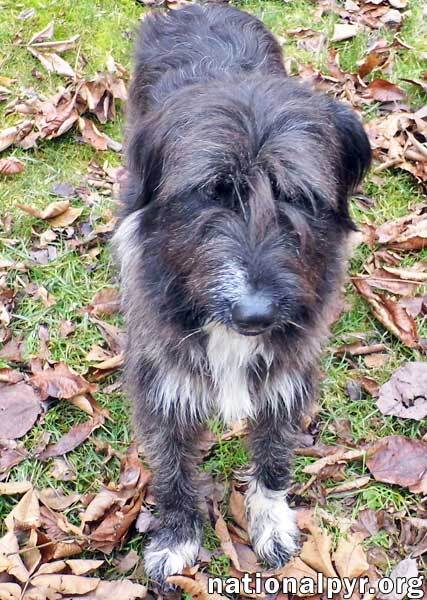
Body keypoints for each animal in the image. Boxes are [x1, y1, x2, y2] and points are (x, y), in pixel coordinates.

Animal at [113, 2, 372, 588]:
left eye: (297, 195)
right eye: (212, 192)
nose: (255, 315)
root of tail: (200, 7)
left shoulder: (289, 377)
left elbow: (274, 458)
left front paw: (271, 522)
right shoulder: (162, 387)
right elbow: (172, 469)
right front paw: (177, 536)